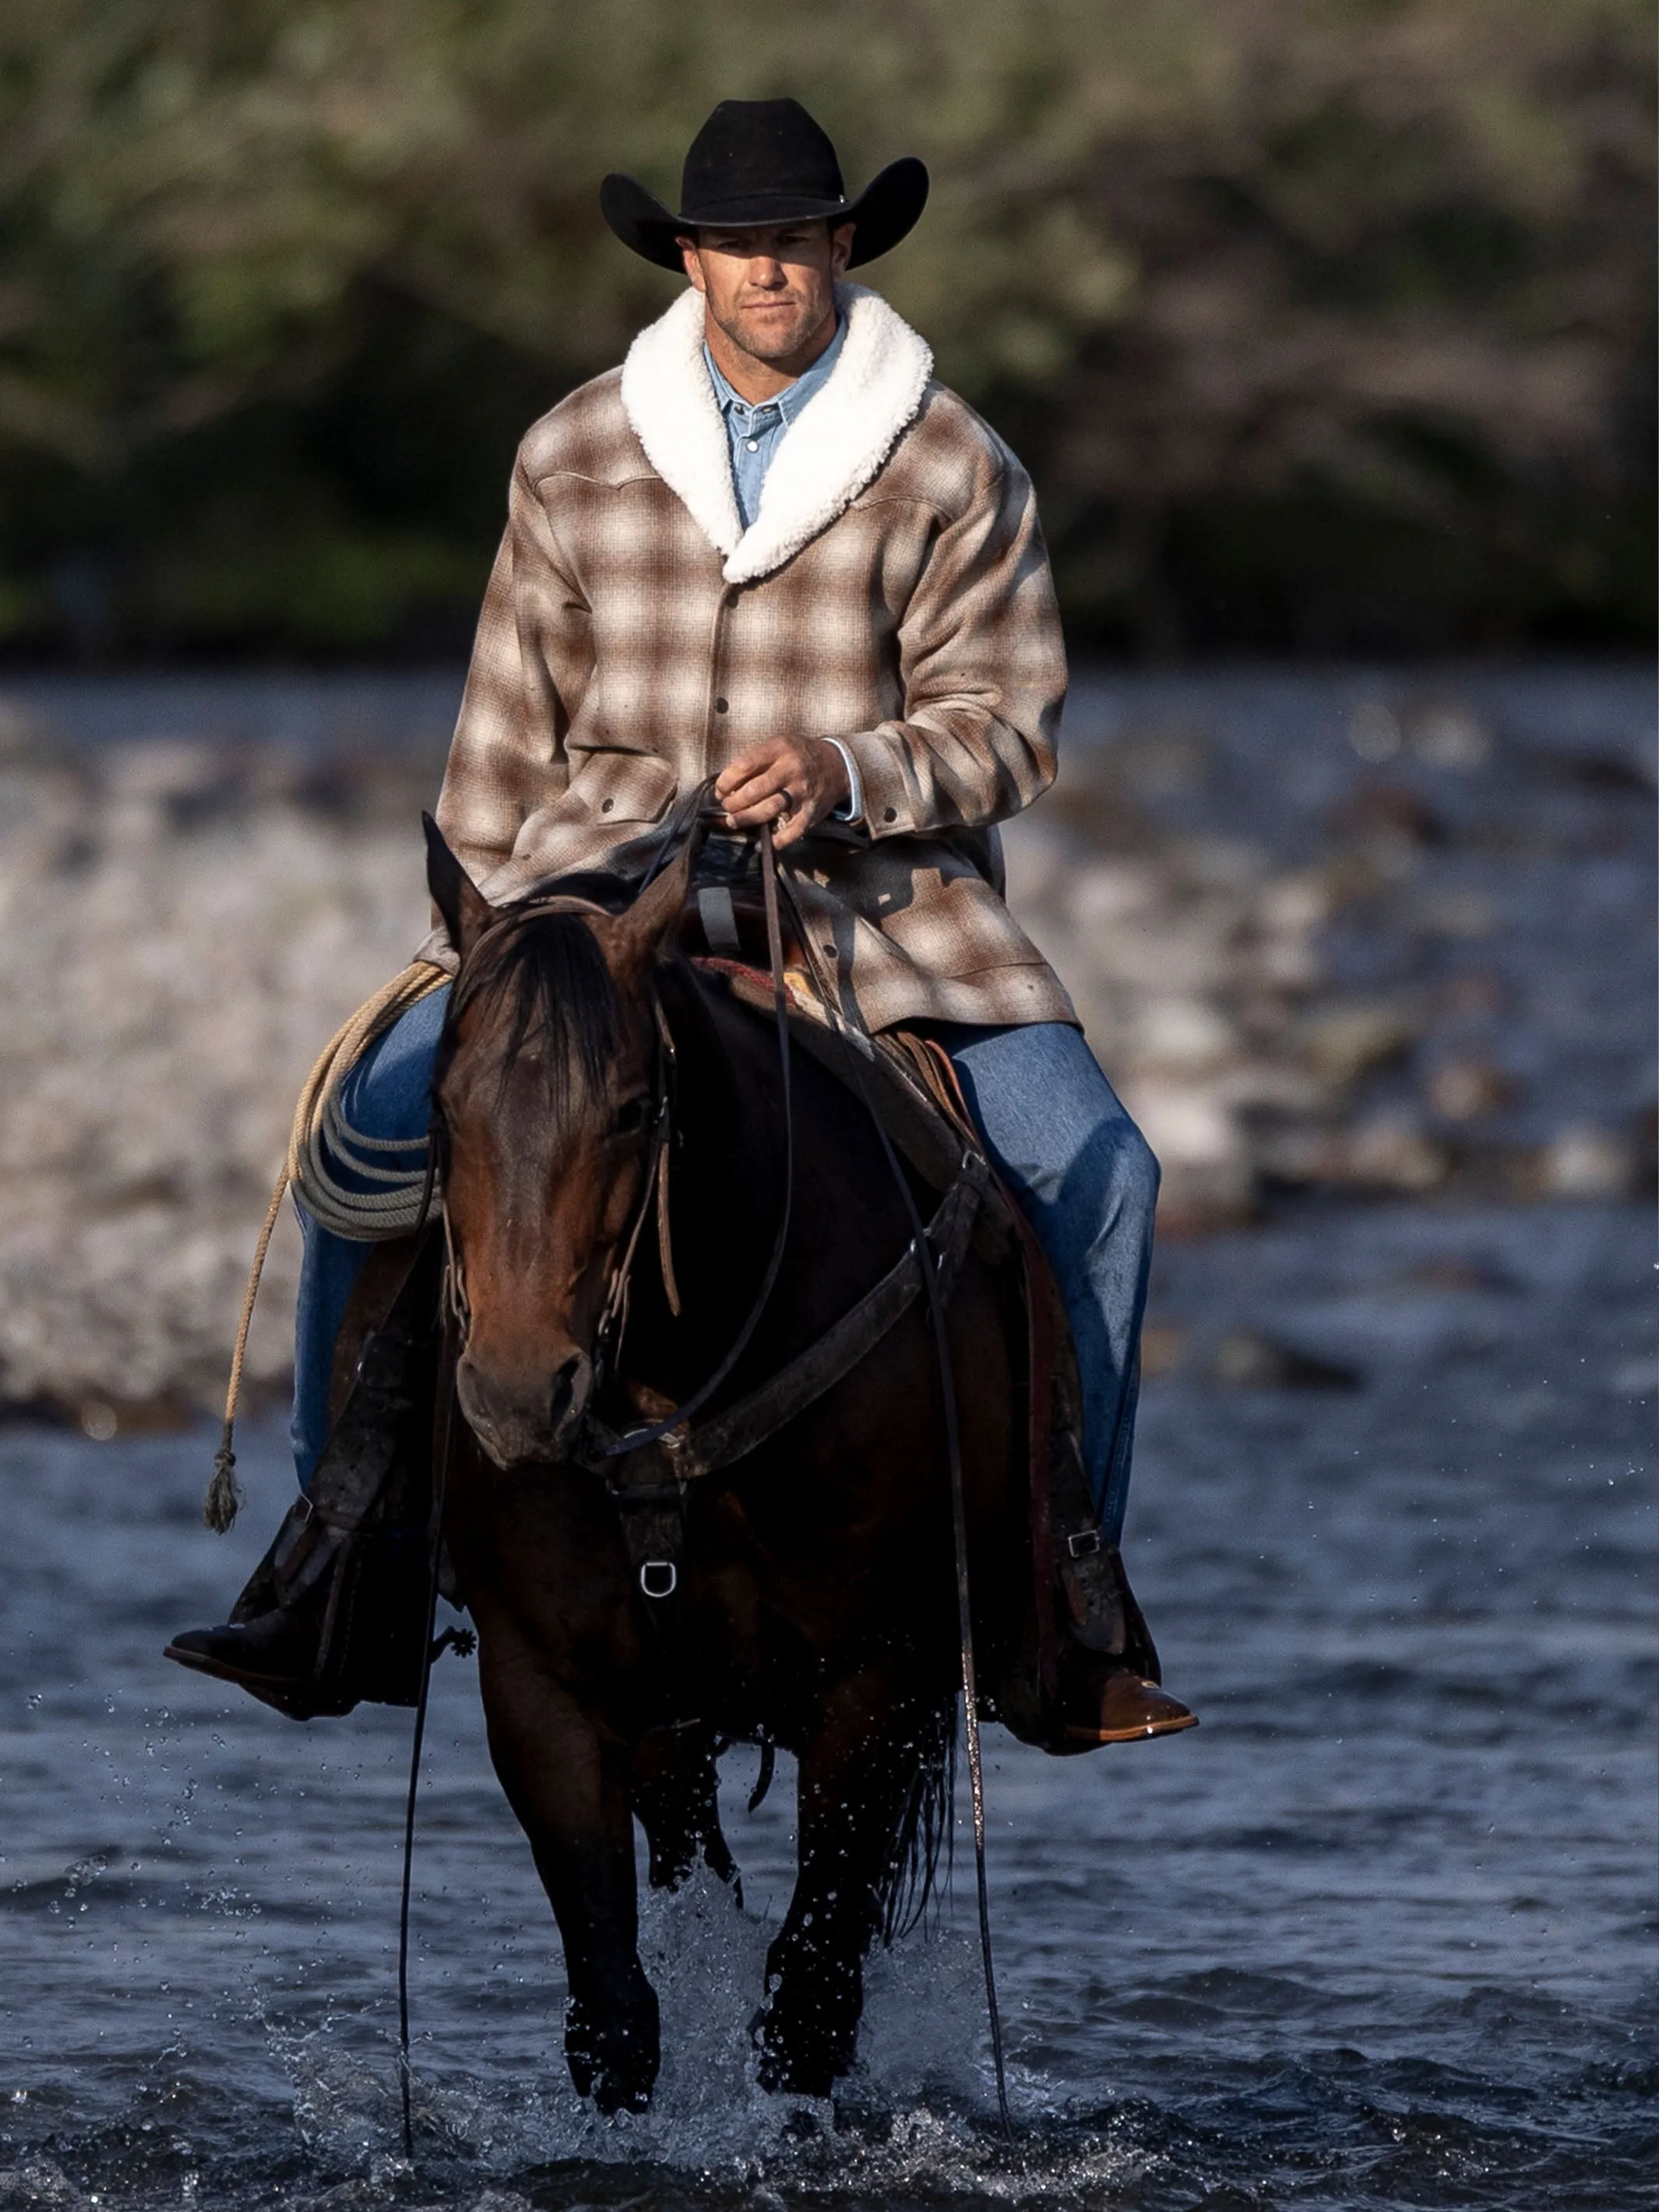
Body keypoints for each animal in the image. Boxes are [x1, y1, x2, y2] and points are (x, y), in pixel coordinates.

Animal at [424, 822, 1039, 2115]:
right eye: (443, 1106)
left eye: (629, 1110)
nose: (515, 1392)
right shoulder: (542, 1685)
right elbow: (615, 2015)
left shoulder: (878, 1677)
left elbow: (809, 2002)